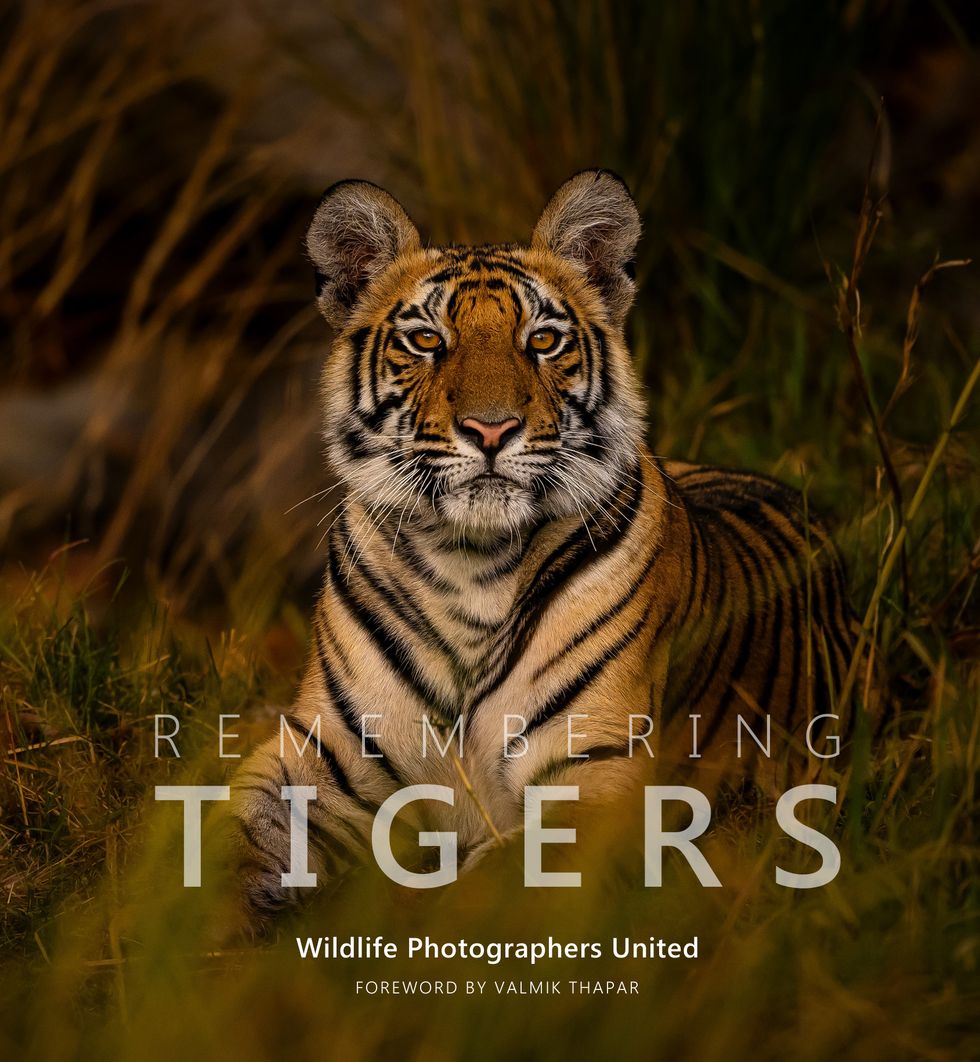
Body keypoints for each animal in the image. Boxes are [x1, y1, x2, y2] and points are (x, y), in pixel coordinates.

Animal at [227, 169, 858, 929]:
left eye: (545, 340)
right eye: (427, 340)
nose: (491, 429)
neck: (467, 563)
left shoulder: (594, 779)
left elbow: (479, 894)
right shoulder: (322, 754)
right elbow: (232, 837)